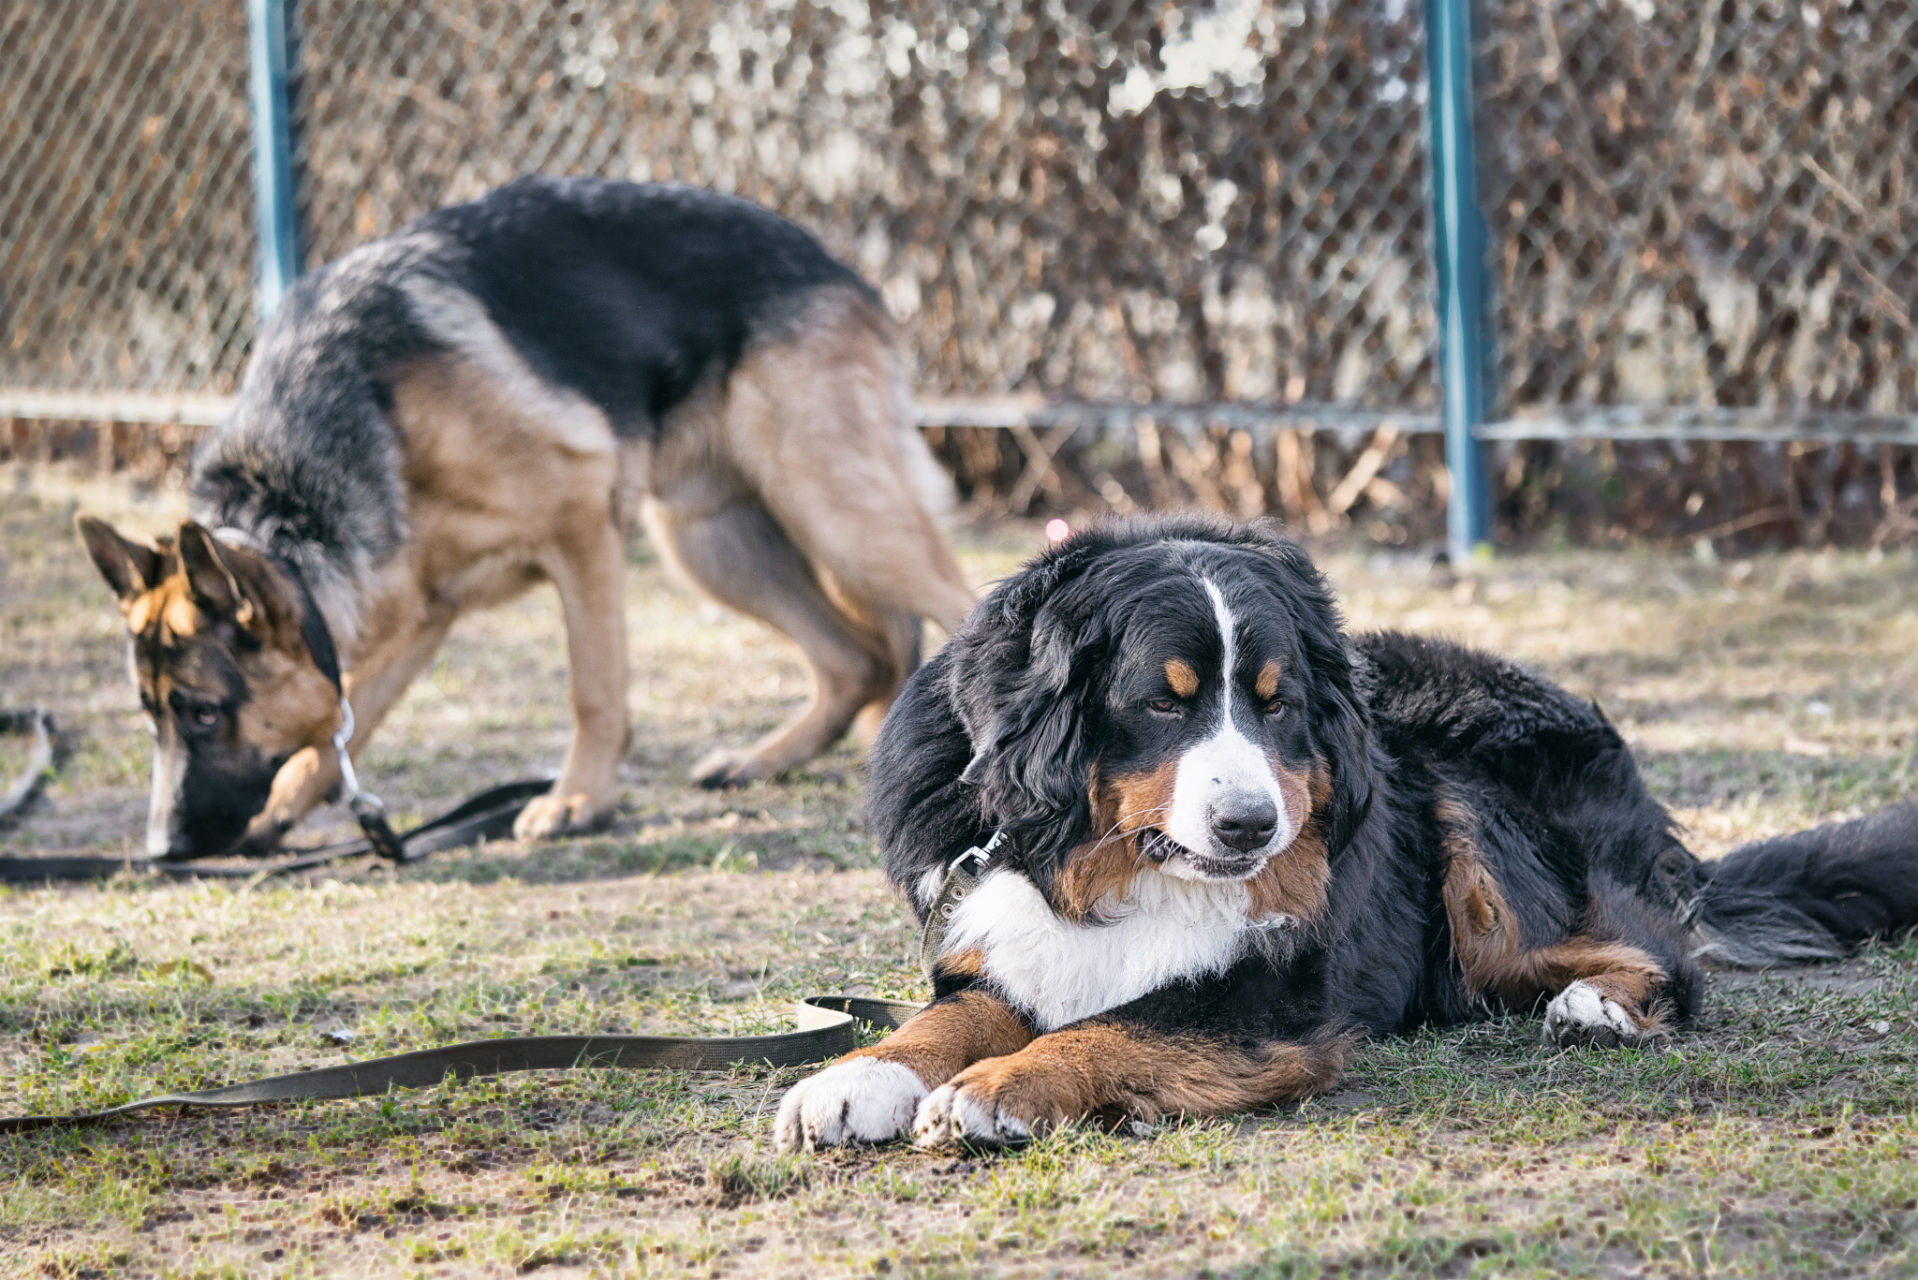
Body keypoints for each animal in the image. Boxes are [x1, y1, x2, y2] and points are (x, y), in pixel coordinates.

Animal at [74, 177, 974, 859]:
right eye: (149, 714)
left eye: (201, 711)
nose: (160, 850)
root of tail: (831, 260)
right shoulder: (421, 611)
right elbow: (343, 723)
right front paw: (284, 806)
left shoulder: (581, 528)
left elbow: (593, 688)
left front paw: (579, 799)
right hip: (711, 544)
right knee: (856, 658)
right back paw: (766, 758)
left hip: (835, 511)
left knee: (958, 608)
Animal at [774, 514, 1918, 1159]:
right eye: (1161, 702)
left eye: (1277, 702)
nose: (1250, 823)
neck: (1105, 863)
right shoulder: (997, 936)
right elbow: (948, 1020)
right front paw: (854, 1078)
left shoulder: (1269, 995)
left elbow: (1109, 1027)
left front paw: (996, 1091)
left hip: (1467, 819)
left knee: (1661, 952)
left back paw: (1598, 1005)